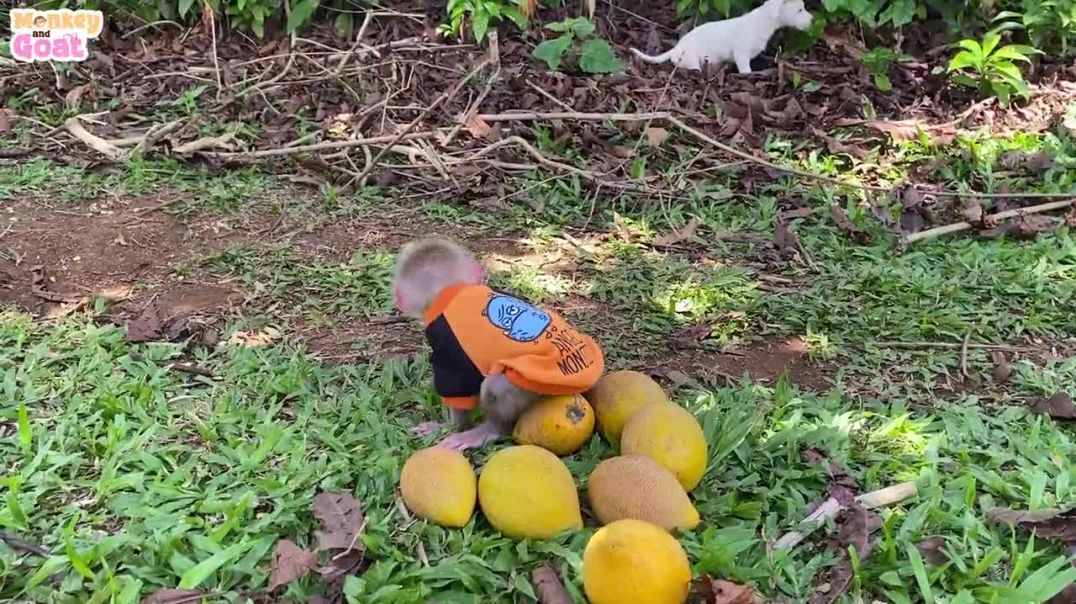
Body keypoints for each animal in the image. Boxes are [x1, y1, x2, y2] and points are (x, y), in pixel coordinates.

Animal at [393, 237, 604, 452]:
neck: (454, 291)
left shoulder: (446, 338)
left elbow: (456, 383)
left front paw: (449, 426)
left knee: (496, 385)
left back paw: (490, 430)